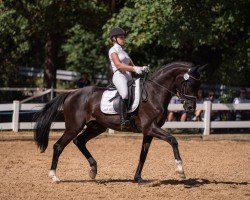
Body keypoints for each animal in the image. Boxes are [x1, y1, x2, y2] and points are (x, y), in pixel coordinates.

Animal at [33, 61, 203, 184]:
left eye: (198, 85)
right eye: (188, 84)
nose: (190, 107)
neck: (154, 93)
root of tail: (71, 93)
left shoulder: (148, 132)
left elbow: (143, 155)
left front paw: (138, 178)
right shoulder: (151, 128)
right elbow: (173, 140)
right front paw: (180, 170)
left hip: (97, 127)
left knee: (79, 141)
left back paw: (93, 170)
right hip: (74, 127)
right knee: (59, 146)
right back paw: (54, 176)